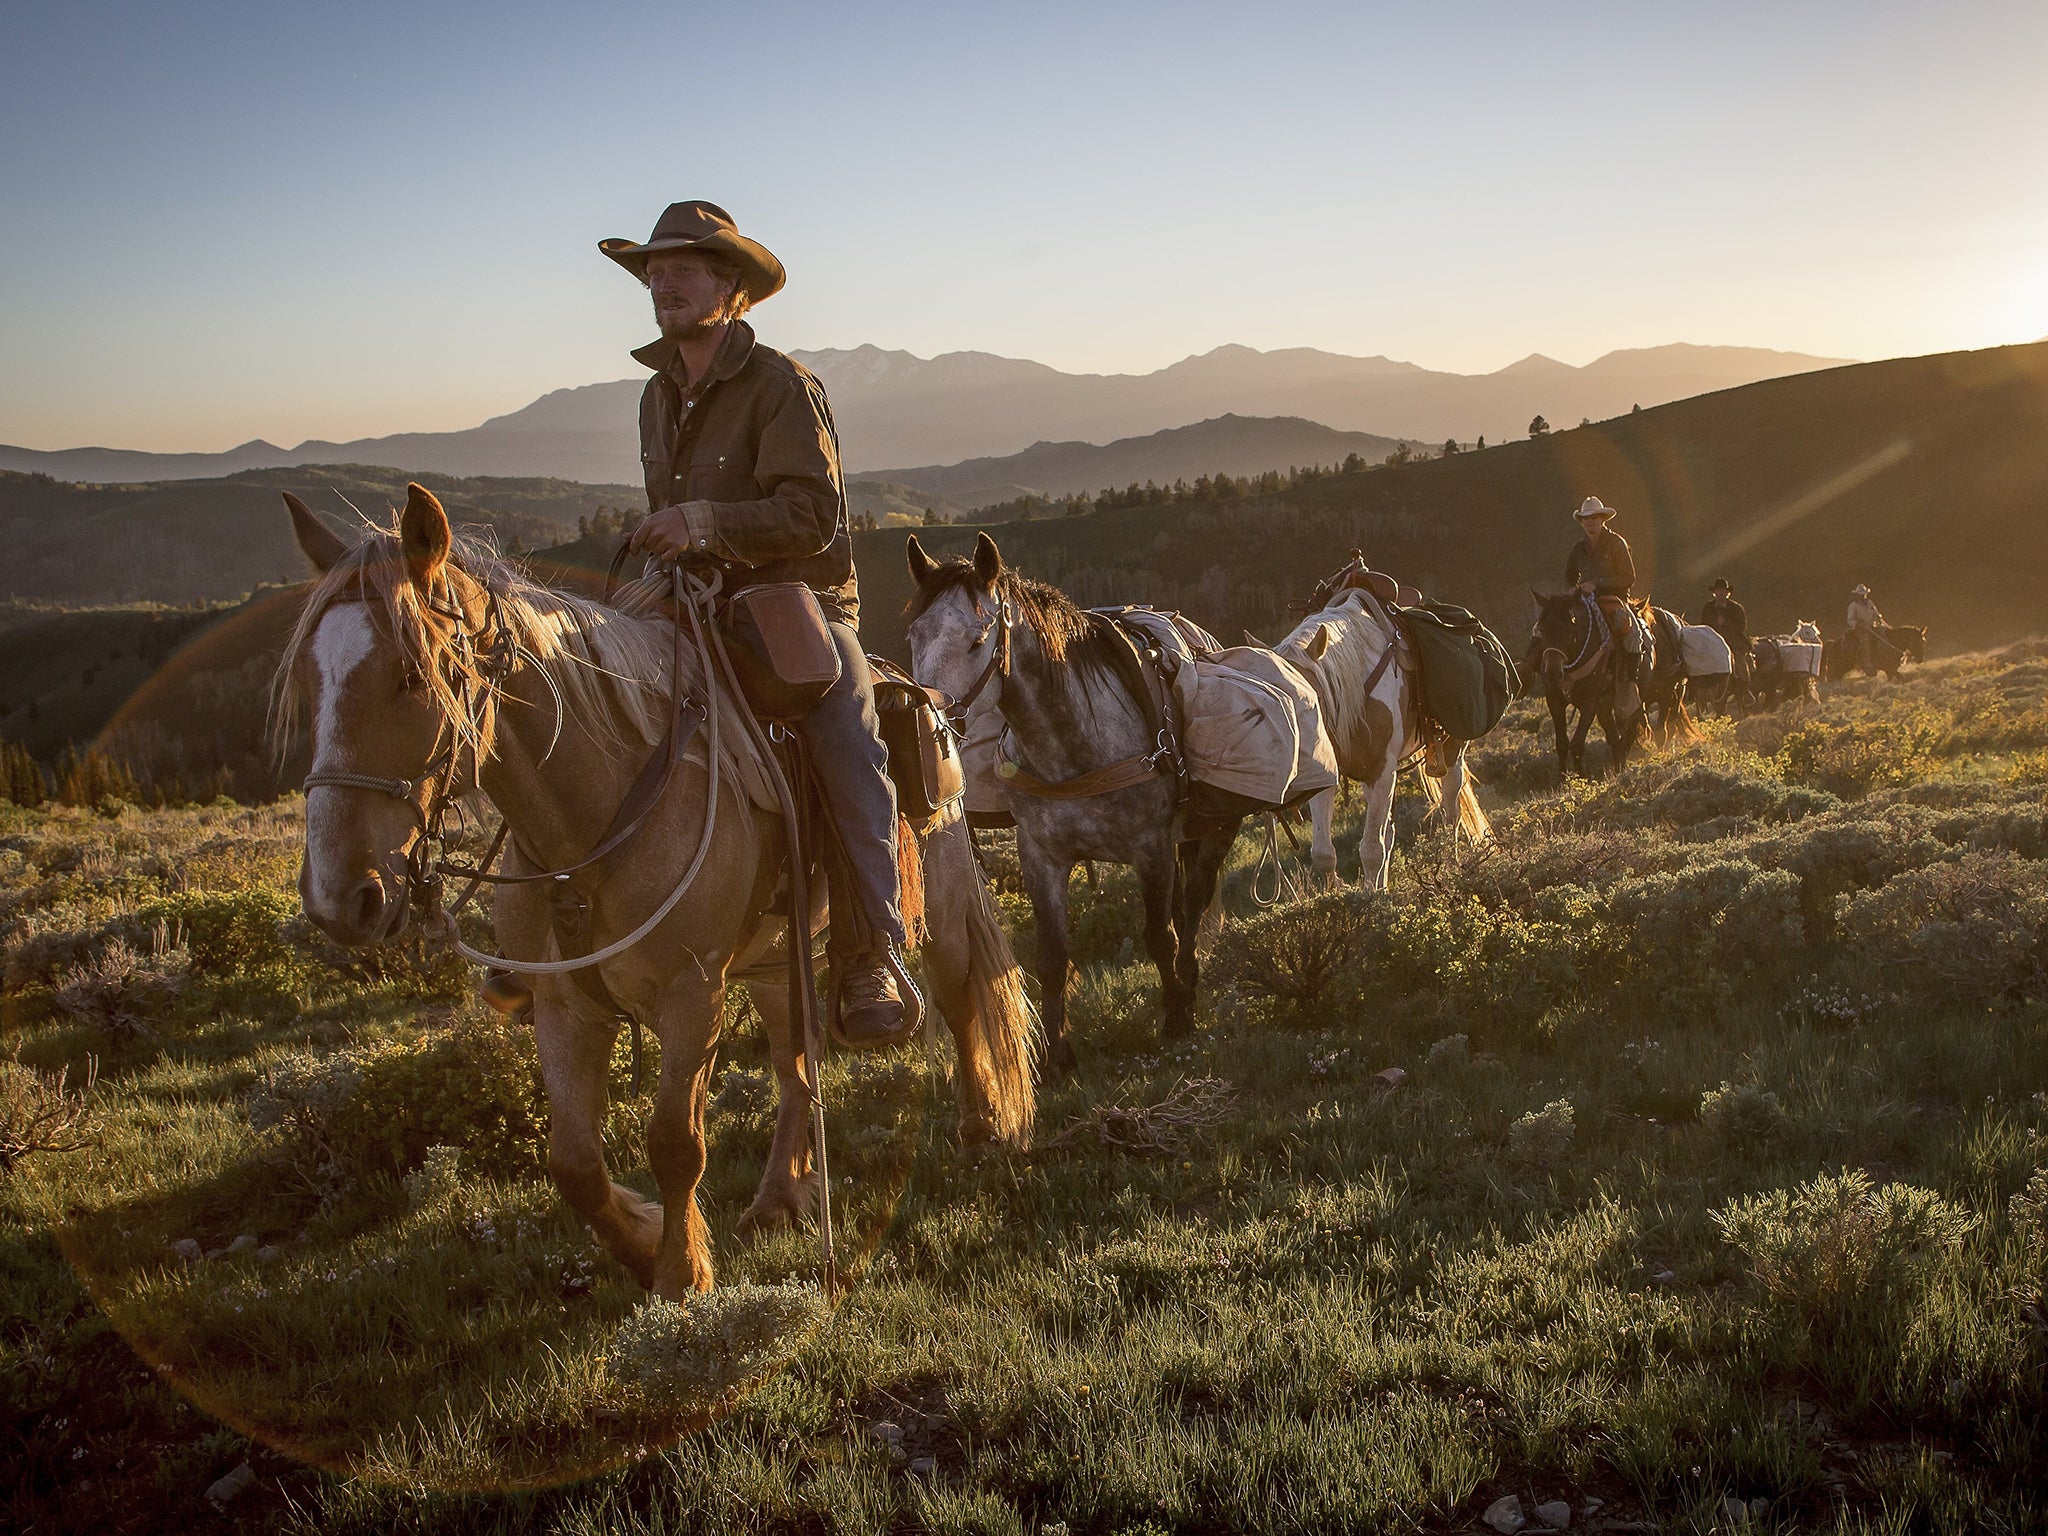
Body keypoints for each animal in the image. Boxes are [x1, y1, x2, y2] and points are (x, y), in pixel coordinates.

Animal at [278, 483, 1032, 1302]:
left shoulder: (691, 991)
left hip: (938, 899)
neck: (597, 817)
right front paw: (642, 1244)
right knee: (795, 1066)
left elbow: (675, 1140)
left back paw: (981, 1125)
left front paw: (681, 1274)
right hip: (776, 958)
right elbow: (573, 1163)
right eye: (310, 684)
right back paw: (779, 1195)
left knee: (957, 995)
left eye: (413, 677)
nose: (337, 898)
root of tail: (926, 697)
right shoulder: (565, 1002)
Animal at [909, 536, 1228, 1073]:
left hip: (1215, 831)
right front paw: (1058, 1052)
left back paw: (1188, 981)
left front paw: (1176, 1017)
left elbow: (1159, 935)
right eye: (914, 634)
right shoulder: (1042, 857)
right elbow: (1053, 954)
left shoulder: (1152, 850)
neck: (1074, 746)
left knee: (1193, 905)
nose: (925, 719)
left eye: (977, 640)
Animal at [1269, 593, 1482, 897]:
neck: (1356, 688)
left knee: (1450, 811)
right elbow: (1323, 853)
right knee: (1389, 831)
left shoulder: (1382, 770)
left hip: (1452, 751)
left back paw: (1452, 864)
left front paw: (1371, 898)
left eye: (1304, 698)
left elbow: (1371, 849)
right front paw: (1338, 895)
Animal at [1531, 589, 1654, 782]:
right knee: (1615, 738)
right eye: (1542, 631)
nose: (1551, 675)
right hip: (1605, 706)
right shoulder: (1555, 699)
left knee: (1628, 735)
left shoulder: (1590, 702)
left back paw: (1622, 772)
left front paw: (1582, 778)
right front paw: (1561, 781)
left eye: (1569, 631)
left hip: (1635, 697)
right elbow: (1562, 744)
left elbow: (1577, 744)